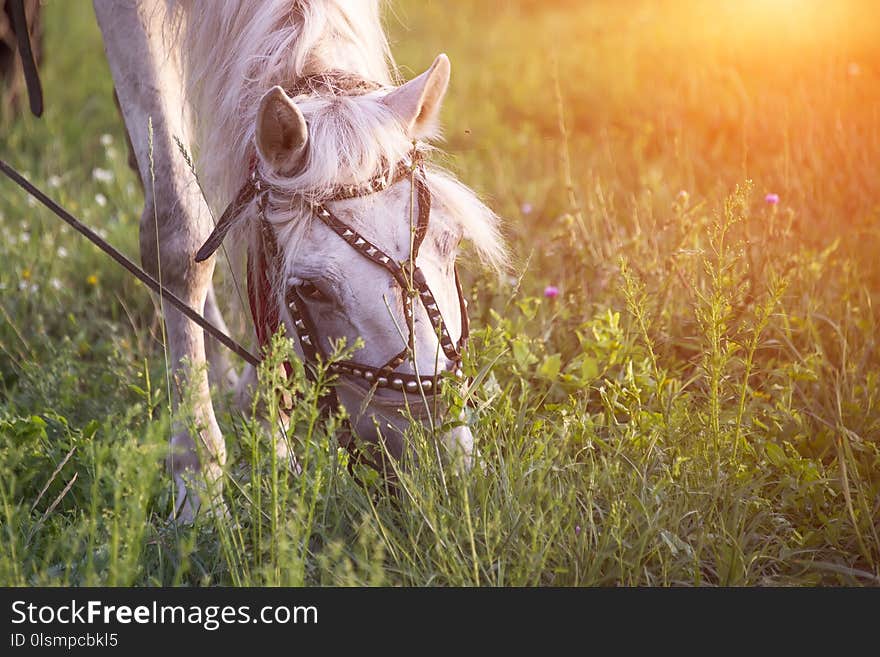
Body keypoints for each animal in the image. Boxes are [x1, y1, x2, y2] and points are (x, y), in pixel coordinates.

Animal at [93, 1, 506, 524]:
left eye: (449, 246)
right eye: (312, 289)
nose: (441, 462)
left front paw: (264, 420)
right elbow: (178, 236)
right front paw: (199, 477)